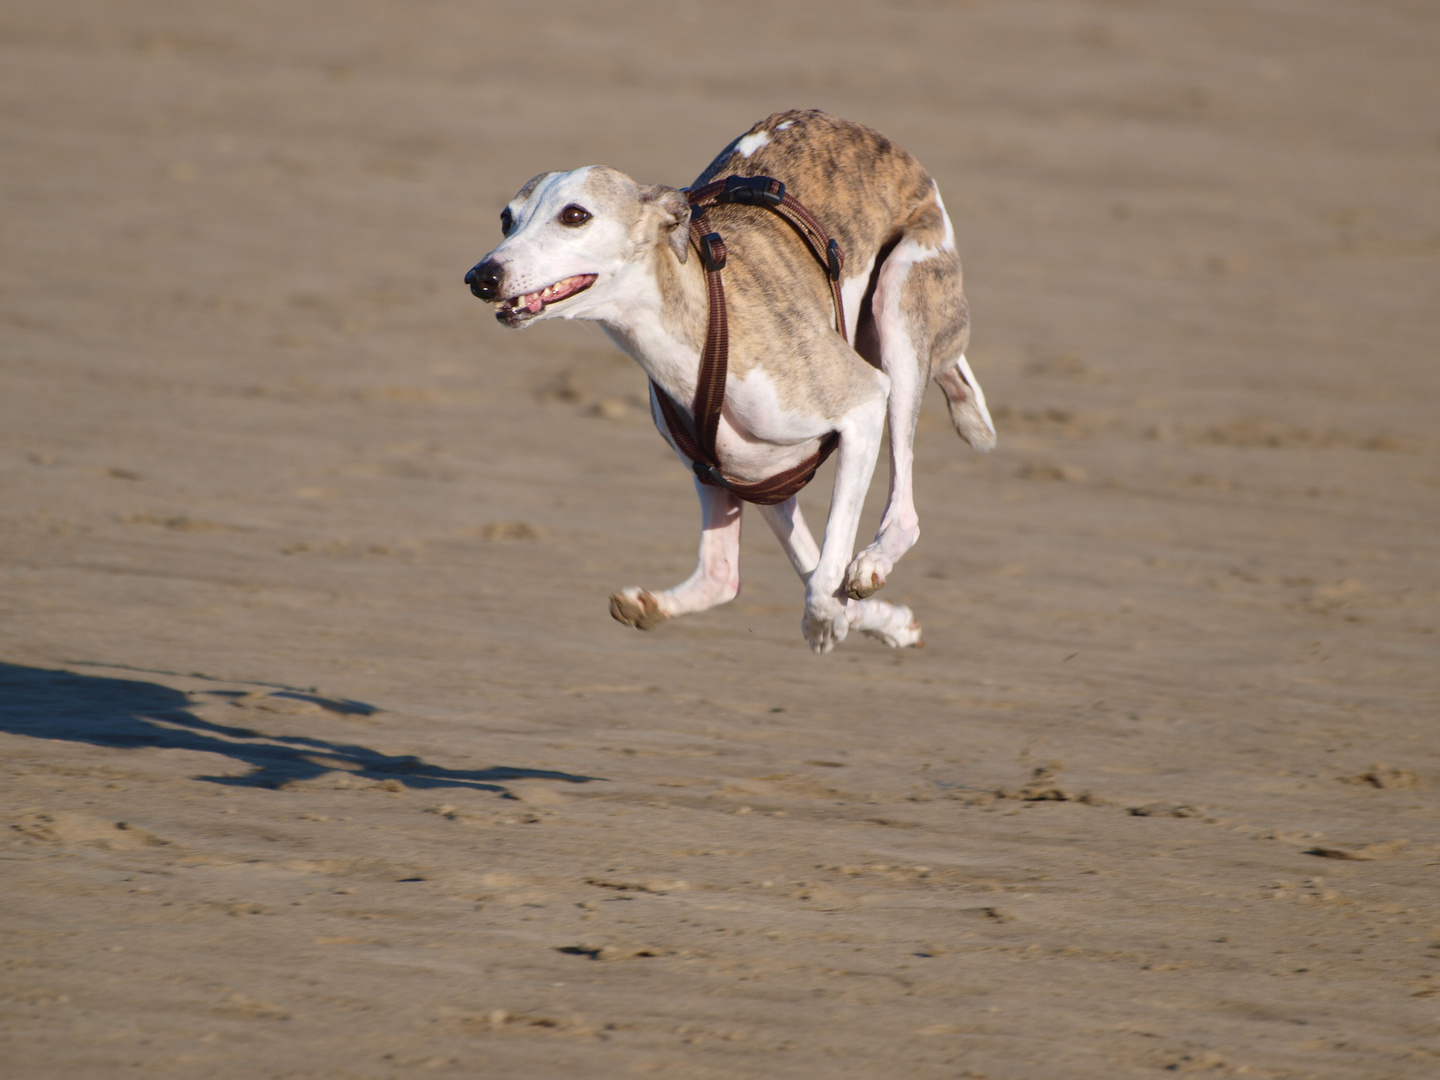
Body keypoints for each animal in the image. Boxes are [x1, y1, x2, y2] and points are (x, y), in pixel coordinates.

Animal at [466, 112, 996, 650]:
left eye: (575, 215)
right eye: (507, 218)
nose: (481, 277)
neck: (693, 318)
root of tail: (882, 141)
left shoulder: (862, 404)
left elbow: (824, 575)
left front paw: (827, 620)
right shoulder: (740, 473)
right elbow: (766, 571)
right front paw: (884, 622)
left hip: (899, 306)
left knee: (903, 511)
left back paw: (872, 563)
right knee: (737, 572)